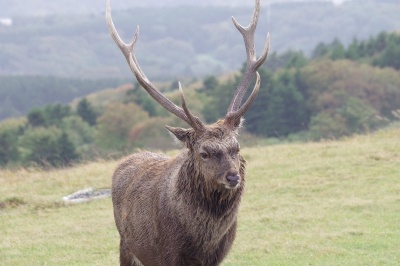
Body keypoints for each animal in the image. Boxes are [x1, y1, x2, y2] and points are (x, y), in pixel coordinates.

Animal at [105, 1, 268, 264]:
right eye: (204, 153)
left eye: (236, 147)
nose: (233, 177)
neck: (203, 244)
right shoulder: (168, 254)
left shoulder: (219, 255)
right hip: (127, 245)